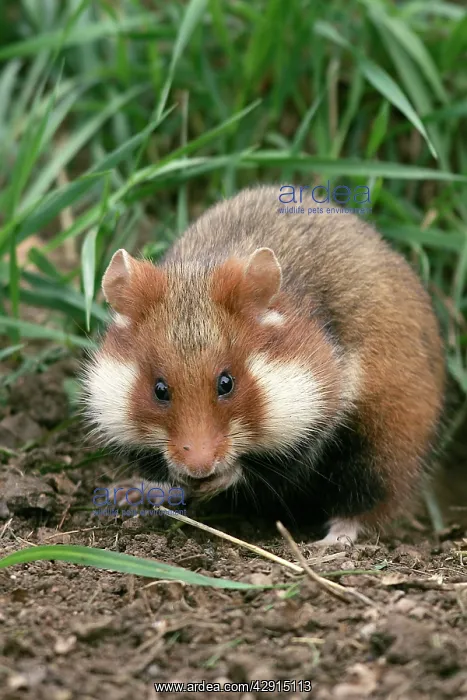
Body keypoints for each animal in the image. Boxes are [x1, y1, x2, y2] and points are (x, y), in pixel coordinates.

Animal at [83, 186, 445, 544]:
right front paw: (165, 481)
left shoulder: (318, 419)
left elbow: (253, 470)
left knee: (367, 502)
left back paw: (329, 543)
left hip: (384, 444)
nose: (199, 469)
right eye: (160, 390)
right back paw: (128, 493)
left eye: (226, 383)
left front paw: (217, 478)